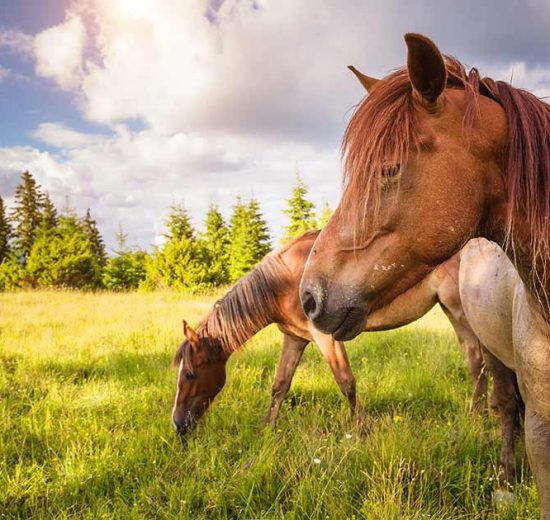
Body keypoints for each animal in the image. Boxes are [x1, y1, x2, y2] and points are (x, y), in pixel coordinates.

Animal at [171, 230, 488, 432]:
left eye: (190, 374)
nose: (177, 424)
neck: (286, 279)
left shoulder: (325, 337)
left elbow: (346, 382)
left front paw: (361, 430)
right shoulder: (294, 338)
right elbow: (279, 385)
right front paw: (266, 430)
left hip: (457, 310)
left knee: (476, 362)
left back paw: (478, 419)